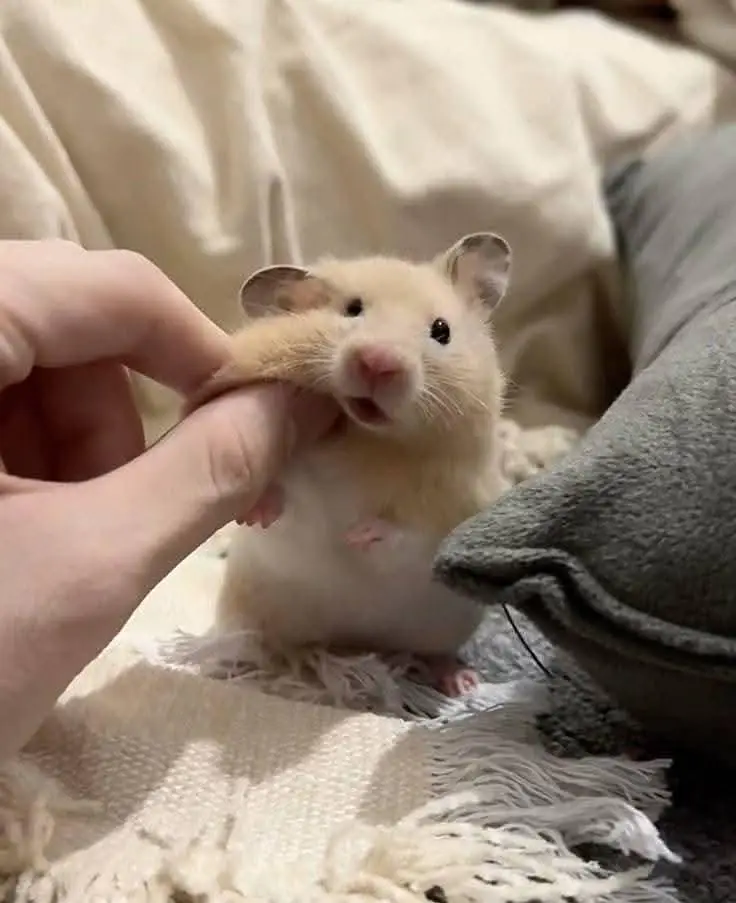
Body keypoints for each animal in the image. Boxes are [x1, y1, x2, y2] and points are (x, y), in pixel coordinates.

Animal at [195, 233, 513, 697]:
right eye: (352, 309)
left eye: (441, 331)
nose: (379, 362)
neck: (367, 439)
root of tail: (356, 645)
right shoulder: (304, 490)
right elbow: (289, 499)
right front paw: (258, 512)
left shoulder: (455, 507)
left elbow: (410, 535)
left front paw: (358, 535)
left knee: (435, 653)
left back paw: (461, 682)